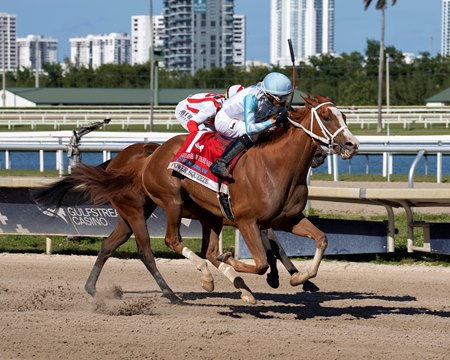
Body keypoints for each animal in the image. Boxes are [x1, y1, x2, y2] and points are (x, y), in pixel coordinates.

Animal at [32, 95, 358, 304]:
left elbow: (321, 239)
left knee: (110, 246)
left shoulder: (287, 219)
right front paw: (245, 266)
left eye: (344, 116)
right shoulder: (247, 221)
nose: (352, 144)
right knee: (160, 246)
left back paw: (92, 288)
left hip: (155, 214)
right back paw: (185, 289)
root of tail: (147, 157)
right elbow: (262, 261)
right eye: (326, 116)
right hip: (165, 203)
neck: (276, 166)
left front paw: (301, 279)